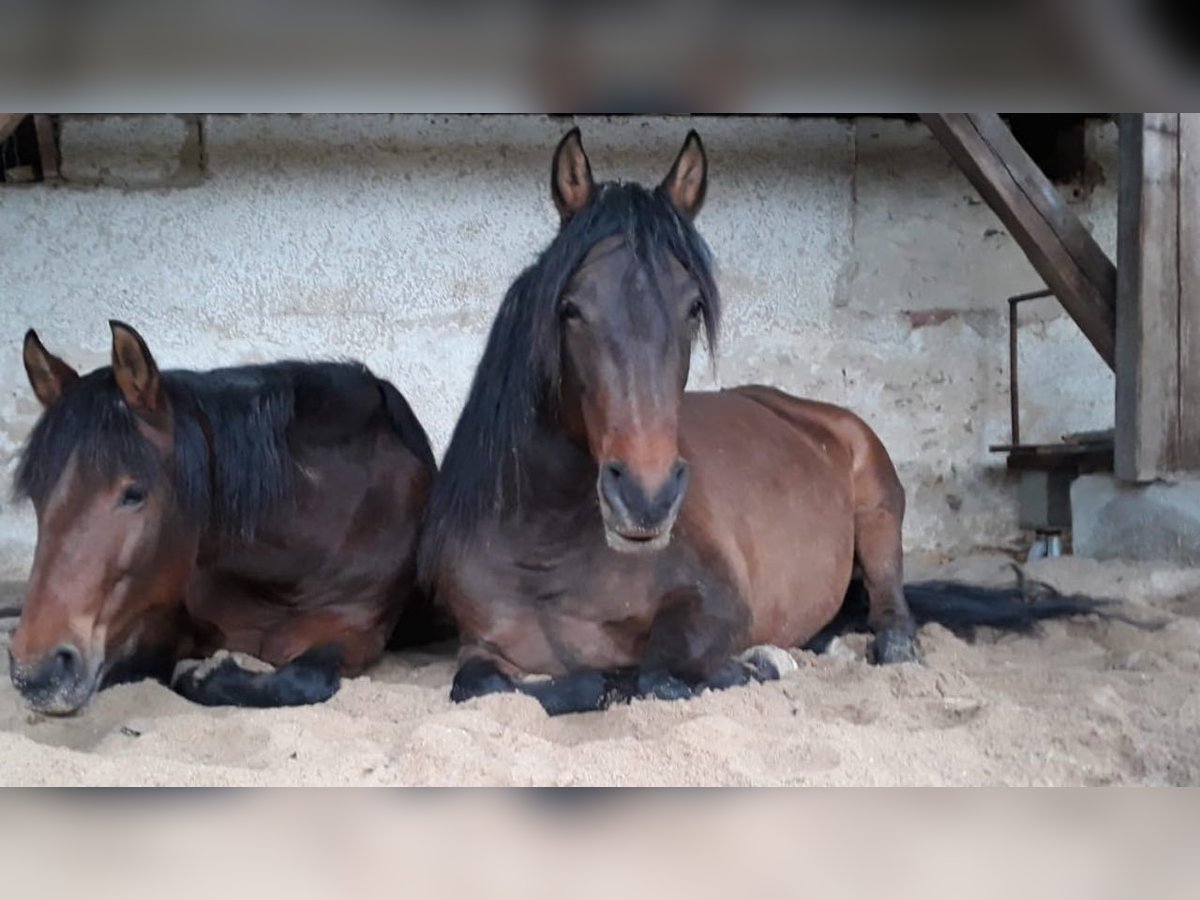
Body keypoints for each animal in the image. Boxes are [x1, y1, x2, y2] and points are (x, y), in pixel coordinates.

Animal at [9, 321, 441, 715]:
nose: (37, 673)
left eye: (134, 493)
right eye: (37, 495)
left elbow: (303, 679)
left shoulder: (357, 631)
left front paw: (205, 675)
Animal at [422, 128, 1113, 720]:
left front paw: (756, 664)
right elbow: (487, 688)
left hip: (879, 507)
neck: (549, 551)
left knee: (891, 610)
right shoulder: (479, 648)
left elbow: (657, 674)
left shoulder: (717, 605)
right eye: (569, 308)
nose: (644, 497)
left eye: (693, 308)